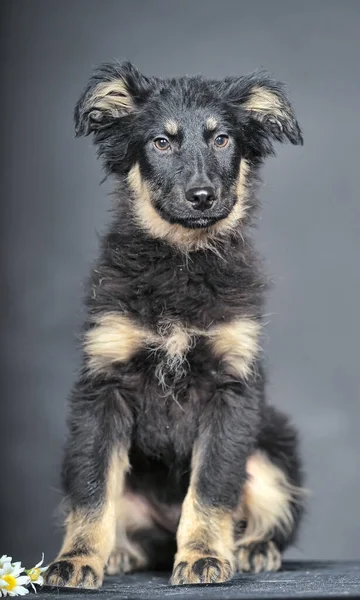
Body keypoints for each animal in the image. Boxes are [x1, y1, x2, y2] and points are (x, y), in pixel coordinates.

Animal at [44, 62, 304, 592]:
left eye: (222, 139)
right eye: (161, 143)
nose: (202, 197)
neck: (181, 259)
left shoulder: (232, 389)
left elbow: (211, 484)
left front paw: (203, 555)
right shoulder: (102, 388)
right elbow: (91, 488)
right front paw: (77, 560)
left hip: (271, 448)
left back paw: (252, 548)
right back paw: (118, 553)